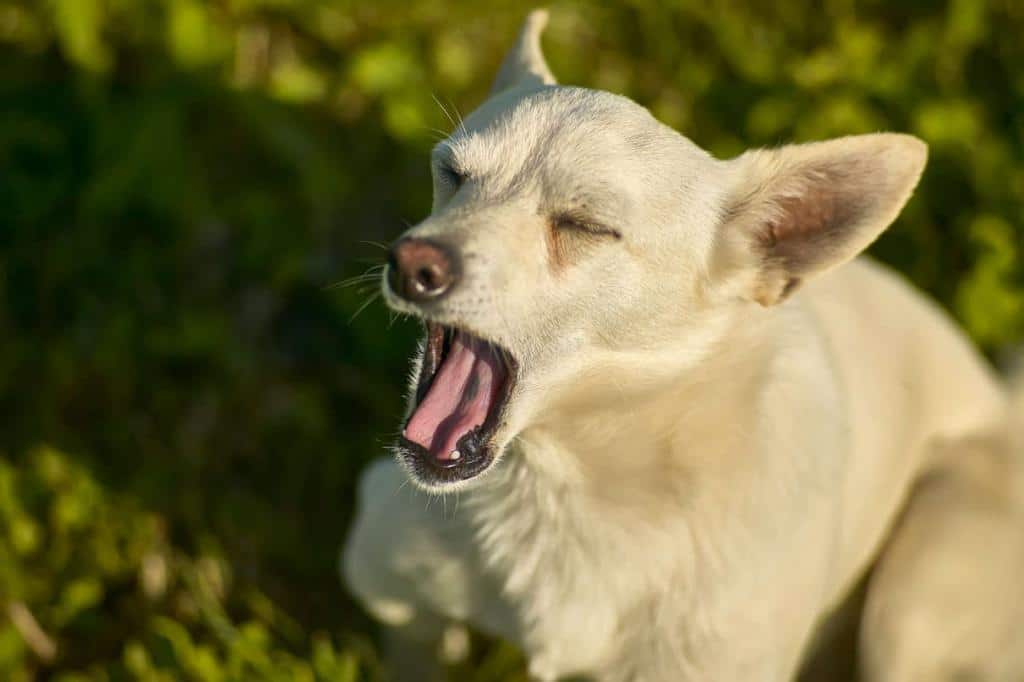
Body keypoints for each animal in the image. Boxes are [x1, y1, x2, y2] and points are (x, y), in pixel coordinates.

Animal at [344, 10, 1024, 679]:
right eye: (452, 176)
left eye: (584, 225)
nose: (412, 261)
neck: (569, 480)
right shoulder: (398, 598)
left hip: (912, 607)